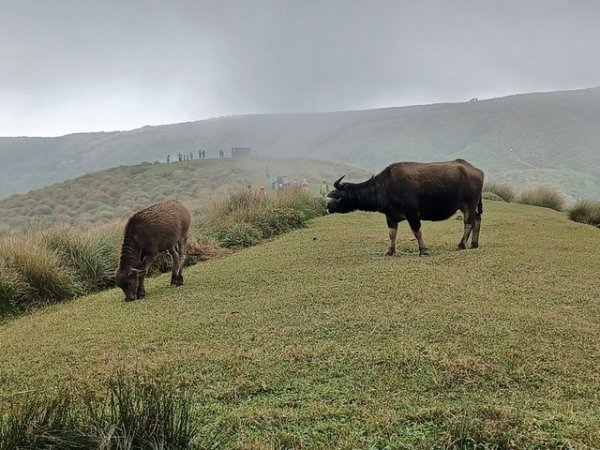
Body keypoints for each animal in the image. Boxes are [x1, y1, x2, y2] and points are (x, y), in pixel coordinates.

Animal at [328, 160, 482, 255]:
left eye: (337, 196)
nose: (328, 206)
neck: (387, 187)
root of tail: (477, 171)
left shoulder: (413, 213)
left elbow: (417, 231)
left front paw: (423, 250)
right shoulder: (390, 216)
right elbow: (392, 234)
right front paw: (389, 251)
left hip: (469, 203)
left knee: (468, 223)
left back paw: (461, 245)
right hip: (468, 206)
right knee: (477, 220)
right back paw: (474, 243)